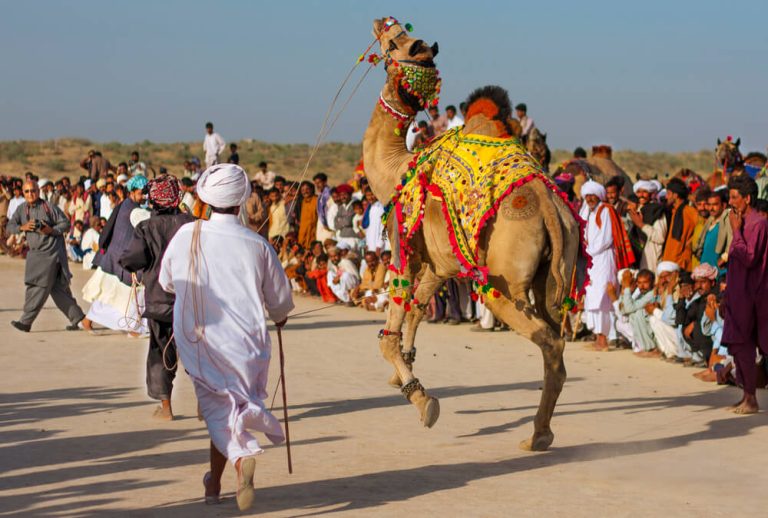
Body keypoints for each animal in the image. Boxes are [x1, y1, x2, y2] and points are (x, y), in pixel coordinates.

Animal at [360, 18, 584, 452]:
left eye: (396, 42)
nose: (381, 21)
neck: (394, 170)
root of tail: (552, 209)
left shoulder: (402, 246)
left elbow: (389, 331)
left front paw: (422, 400)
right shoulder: (440, 263)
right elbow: (417, 308)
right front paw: (402, 376)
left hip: (501, 281)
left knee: (550, 340)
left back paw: (537, 437)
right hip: (555, 273)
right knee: (556, 339)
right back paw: (542, 432)